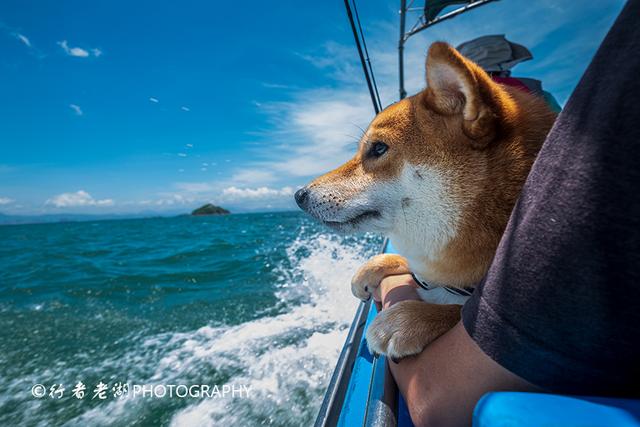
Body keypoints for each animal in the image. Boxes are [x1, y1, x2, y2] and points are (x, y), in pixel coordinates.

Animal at [296, 41, 556, 362]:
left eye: (378, 148)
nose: (298, 195)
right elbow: (411, 263)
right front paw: (371, 268)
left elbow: (459, 315)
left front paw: (408, 319)